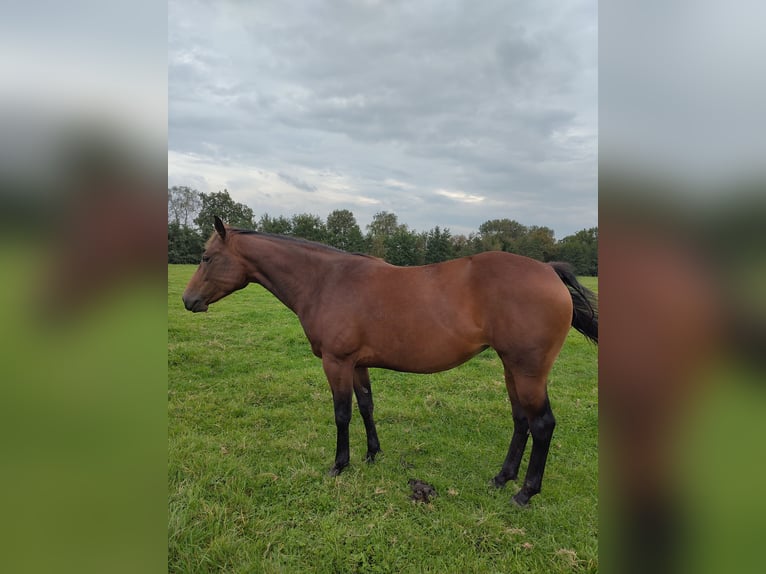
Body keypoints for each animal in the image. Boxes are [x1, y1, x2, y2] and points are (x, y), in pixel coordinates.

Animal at [182, 217, 600, 508]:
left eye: (206, 257)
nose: (188, 301)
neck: (325, 280)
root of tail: (548, 271)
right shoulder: (357, 364)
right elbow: (366, 405)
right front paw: (372, 454)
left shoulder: (336, 362)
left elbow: (342, 413)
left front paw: (339, 464)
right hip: (511, 368)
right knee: (521, 421)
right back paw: (502, 478)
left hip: (529, 371)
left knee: (542, 425)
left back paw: (525, 493)